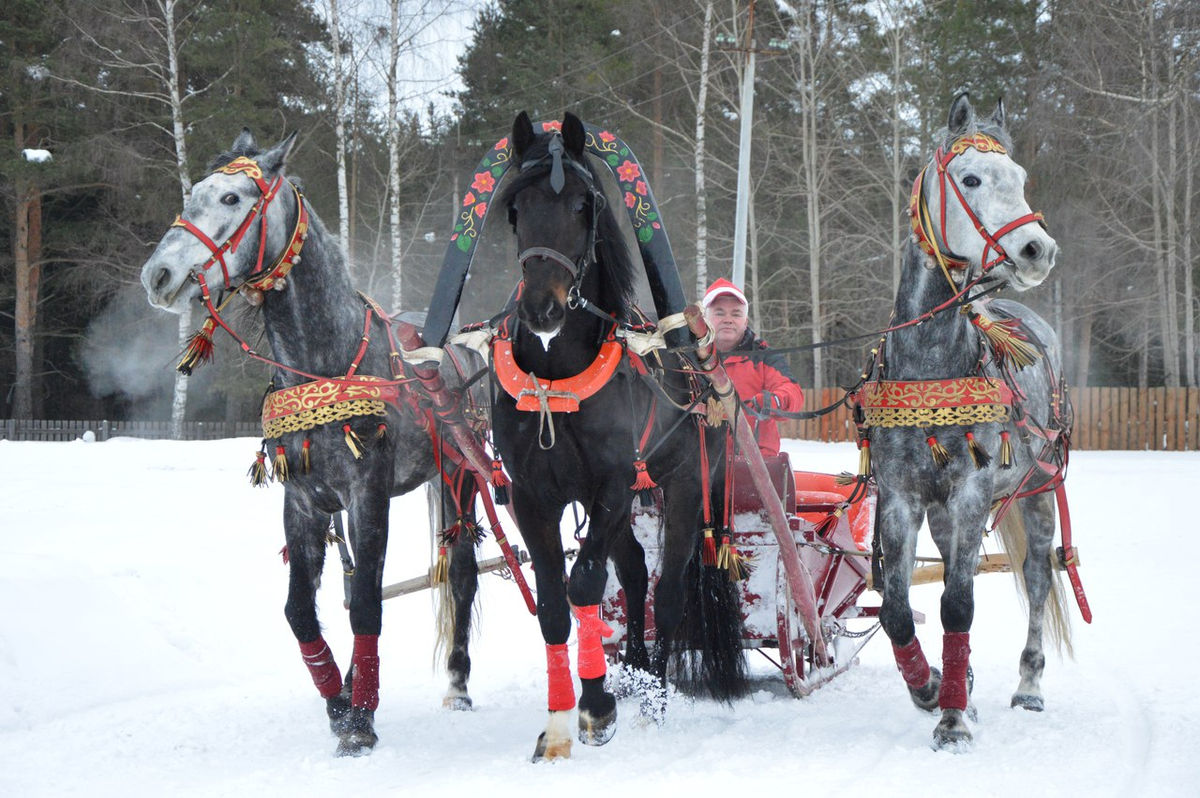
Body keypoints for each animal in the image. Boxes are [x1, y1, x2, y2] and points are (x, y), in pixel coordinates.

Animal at [144, 129, 487, 753]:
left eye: (231, 197)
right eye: (194, 193)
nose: (157, 275)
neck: (323, 363)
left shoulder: (368, 495)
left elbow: (369, 607)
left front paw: (362, 719)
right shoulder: (304, 502)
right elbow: (304, 611)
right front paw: (339, 702)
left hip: (461, 475)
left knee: (462, 573)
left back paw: (457, 684)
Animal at [492, 112, 744, 758]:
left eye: (584, 205)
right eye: (516, 207)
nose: (543, 309)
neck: (557, 379)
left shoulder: (611, 482)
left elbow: (584, 584)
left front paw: (597, 706)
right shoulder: (533, 495)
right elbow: (554, 603)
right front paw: (561, 720)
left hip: (682, 486)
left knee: (668, 588)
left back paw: (654, 693)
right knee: (631, 570)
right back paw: (633, 668)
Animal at [868, 96, 1075, 748]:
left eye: (1022, 179)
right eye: (972, 179)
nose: (1038, 250)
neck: (931, 365)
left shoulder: (971, 492)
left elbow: (959, 605)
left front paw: (953, 719)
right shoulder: (903, 496)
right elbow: (898, 609)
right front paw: (932, 687)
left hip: (1038, 491)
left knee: (1036, 577)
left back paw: (1028, 685)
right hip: (943, 513)